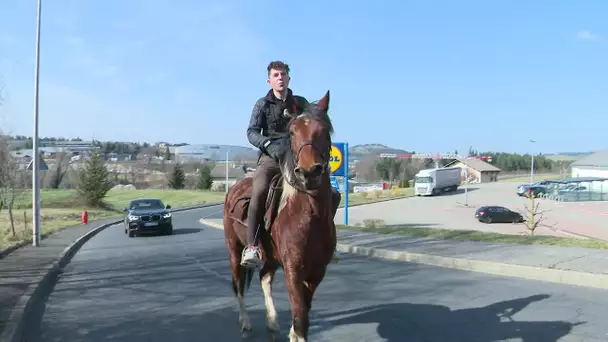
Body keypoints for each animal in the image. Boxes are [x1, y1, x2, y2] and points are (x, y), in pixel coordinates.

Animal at [223, 91, 338, 342]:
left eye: (324, 130)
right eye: (292, 132)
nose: (308, 173)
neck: (308, 214)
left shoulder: (317, 271)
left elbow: (304, 310)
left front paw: (292, 333)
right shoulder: (293, 268)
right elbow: (300, 315)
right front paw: (296, 334)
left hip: (271, 257)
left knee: (264, 278)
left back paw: (272, 321)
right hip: (234, 250)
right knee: (238, 284)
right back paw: (245, 322)